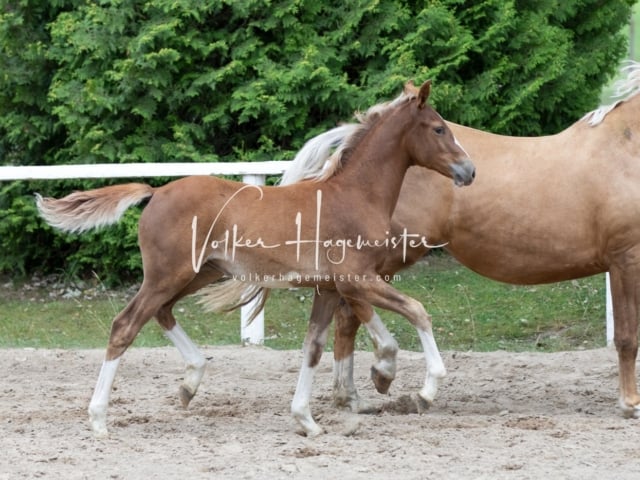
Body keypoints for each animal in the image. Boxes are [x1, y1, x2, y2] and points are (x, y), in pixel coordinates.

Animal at [35, 80, 476, 436]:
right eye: (439, 128)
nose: (469, 171)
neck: (353, 196)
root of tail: (155, 192)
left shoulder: (329, 289)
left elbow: (313, 347)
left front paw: (306, 421)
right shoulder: (356, 280)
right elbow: (414, 315)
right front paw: (416, 387)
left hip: (197, 274)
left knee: (161, 313)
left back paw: (190, 381)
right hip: (168, 275)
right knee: (125, 326)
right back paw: (99, 420)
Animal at [222, 62, 640, 416]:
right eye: (439, 130)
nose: (469, 171)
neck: (627, 147)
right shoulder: (625, 260)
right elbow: (626, 336)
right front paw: (629, 403)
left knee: (347, 314)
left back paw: (356, 394)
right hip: (378, 261)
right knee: (350, 314)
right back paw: (378, 383)